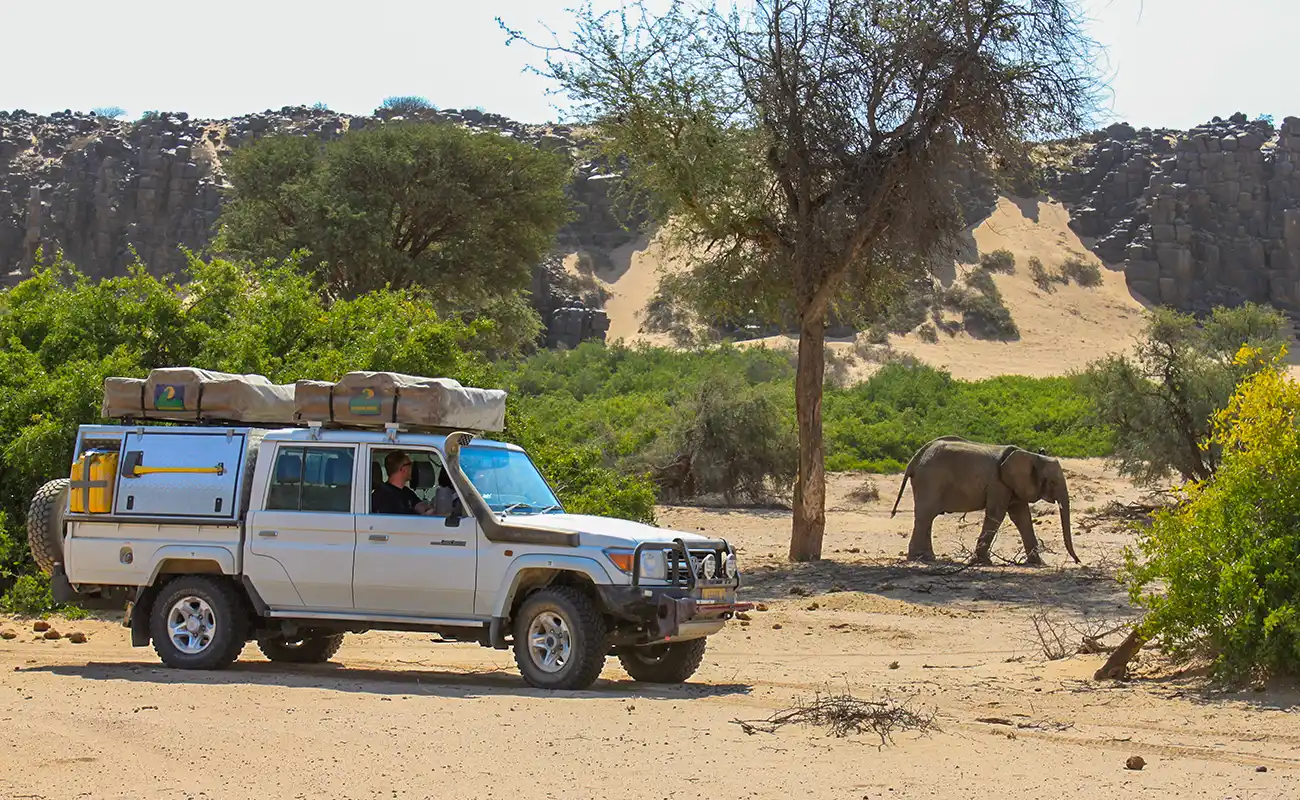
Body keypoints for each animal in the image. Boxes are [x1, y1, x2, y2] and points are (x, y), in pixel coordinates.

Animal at [890, 436, 1077, 566]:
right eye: (1052, 482)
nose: (1078, 562)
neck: (1030, 455)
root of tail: (914, 460)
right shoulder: (998, 483)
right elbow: (997, 515)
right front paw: (982, 562)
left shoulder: (1012, 486)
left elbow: (1022, 517)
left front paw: (1037, 563)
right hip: (931, 480)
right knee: (926, 515)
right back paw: (924, 559)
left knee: (926, 517)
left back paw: (925, 558)